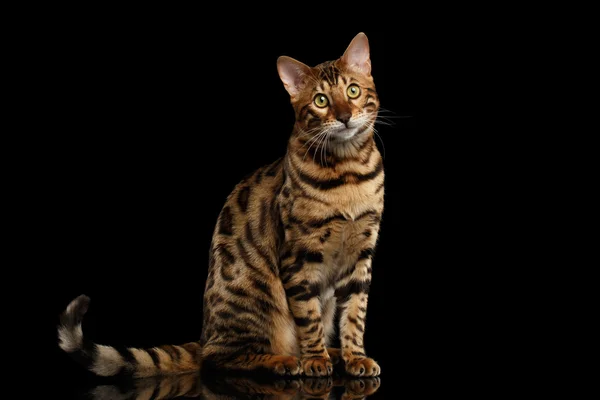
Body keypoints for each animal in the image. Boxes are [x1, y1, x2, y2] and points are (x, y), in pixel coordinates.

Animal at [57, 32, 384, 378]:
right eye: (321, 101)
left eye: (353, 91)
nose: (345, 116)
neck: (348, 174)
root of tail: (205, 335)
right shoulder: (299, 256)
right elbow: (309, 317)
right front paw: (315, 359)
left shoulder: (362, 253)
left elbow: (354, 315)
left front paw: (355, 357)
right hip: (257, 301)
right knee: (220, 357)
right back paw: (285, 360)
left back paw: (334, 354)